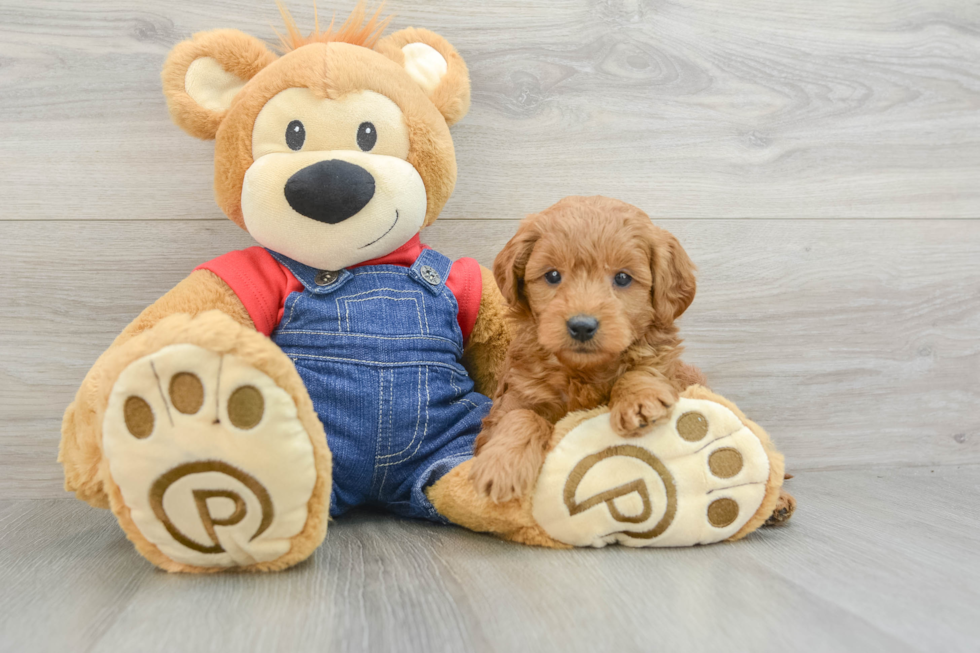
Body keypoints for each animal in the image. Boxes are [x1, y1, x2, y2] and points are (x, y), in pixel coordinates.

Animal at [472, 196, 708, 502]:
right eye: (552, 275)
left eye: (622, 278)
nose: (582, 326)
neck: (584, 372)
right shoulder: (512, 397)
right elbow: (522, 416)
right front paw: (501, 465)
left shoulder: (666, 368)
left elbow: (643, 370)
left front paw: (640, 400)